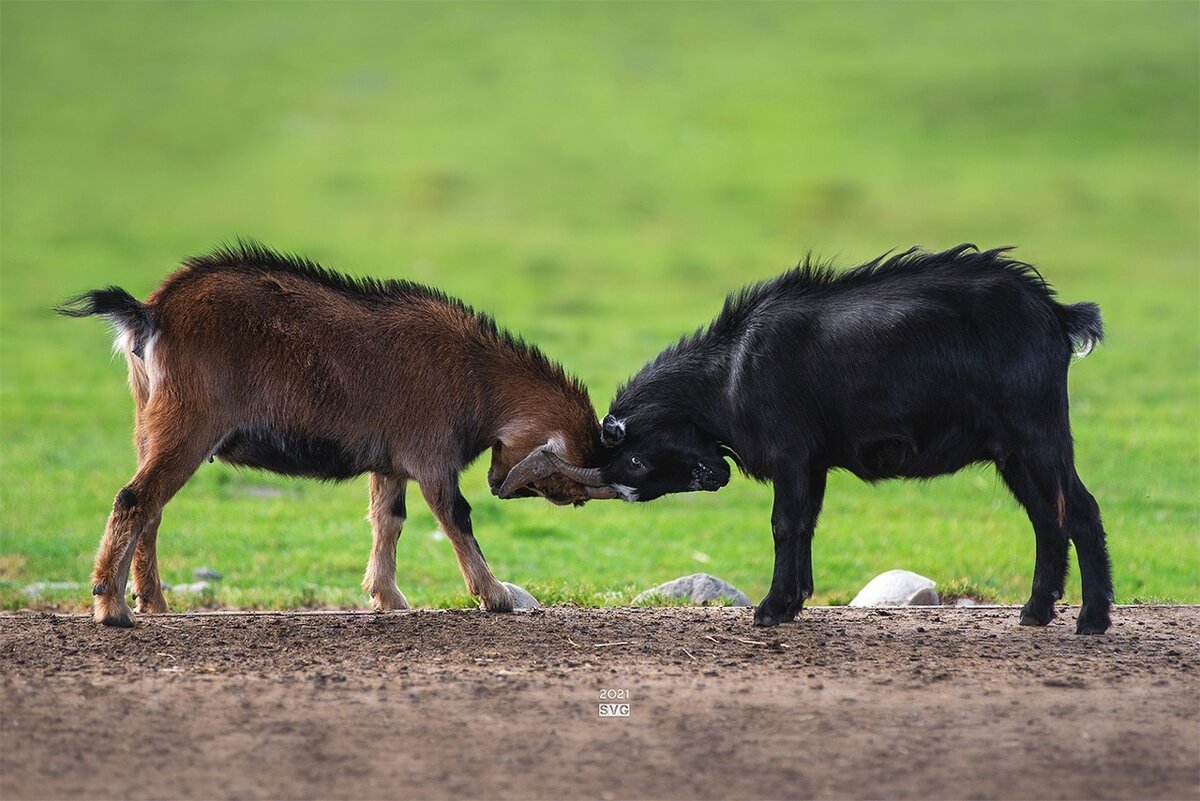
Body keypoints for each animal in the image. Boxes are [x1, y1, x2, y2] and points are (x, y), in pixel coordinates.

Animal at [59, 242, 614, 623]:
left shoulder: (391, 464)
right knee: (135, 499)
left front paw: (389, 598)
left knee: (150, 508)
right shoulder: (432, 457)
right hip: (189, 424)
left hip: (150, 422)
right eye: (569, 485)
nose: (501, 486)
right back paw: (112, 609)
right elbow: (456, 518)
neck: (479, 375)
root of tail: (151, 314)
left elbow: (388, 519)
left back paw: (153, 603)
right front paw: (495, 595)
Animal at [604, 244, 1108, 633]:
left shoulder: (790, 453)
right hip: (1012, 453)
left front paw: (771, 608)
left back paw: (1093, 619)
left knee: (1080, 510)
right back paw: (1036, 611)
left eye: (634, 461)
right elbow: (805, 523)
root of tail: (1057, 316)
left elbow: (784, 524)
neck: (729, 372)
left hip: (1038, 432)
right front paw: (793, 601)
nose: (716, 476)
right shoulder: (812, 463)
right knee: (1047, 518)